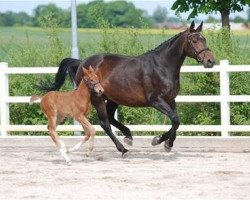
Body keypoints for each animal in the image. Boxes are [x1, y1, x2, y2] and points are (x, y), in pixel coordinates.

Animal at [39, 22, 215, 156]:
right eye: (194, 40)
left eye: (204, 39)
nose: (210, 61)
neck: (162, 66)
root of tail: (82, 63)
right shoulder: (156, 101)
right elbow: (175, 120)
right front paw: (162, 142)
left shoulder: (171, 100)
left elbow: (176, 122)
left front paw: (162, 141)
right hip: (97, 98)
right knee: (105, 123)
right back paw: (123, 149)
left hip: (111, 98)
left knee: (110, 118)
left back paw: (128, 136)